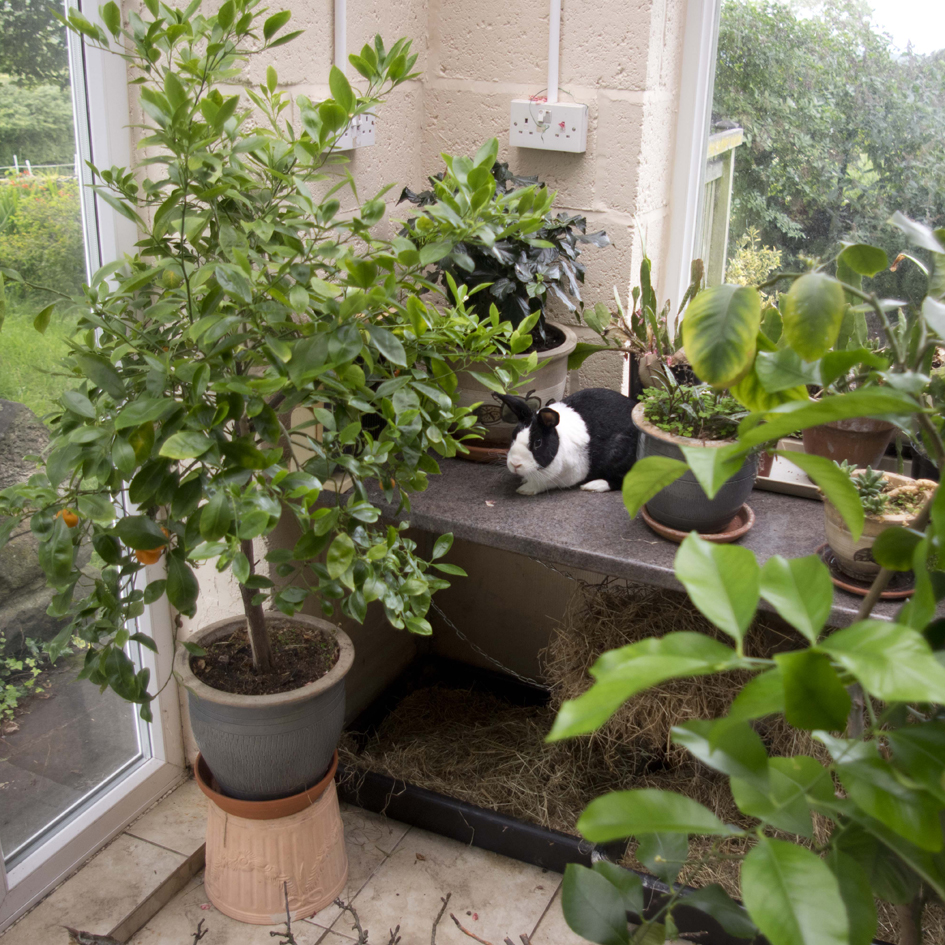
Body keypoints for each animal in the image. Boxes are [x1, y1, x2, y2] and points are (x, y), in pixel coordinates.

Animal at [497, 388, 639, 496]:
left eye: (538, 442)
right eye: (513, 436)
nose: (515, 464)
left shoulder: (570, 474)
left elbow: (544, 482)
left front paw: (525, 489)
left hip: (619, 456)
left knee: (623, 480)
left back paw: (594, 485)